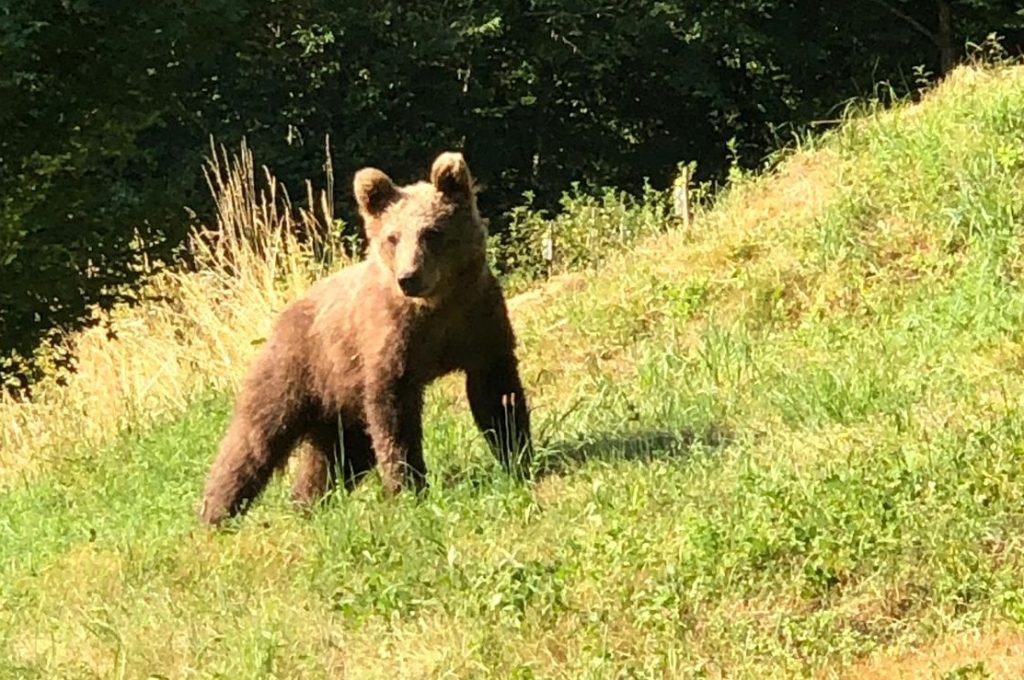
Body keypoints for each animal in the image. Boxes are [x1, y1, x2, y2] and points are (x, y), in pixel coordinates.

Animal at [198, 151, 532, 526]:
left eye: (432, 231)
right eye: (392, 236)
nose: (409, 277)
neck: (437, 306)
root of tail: (283, 315)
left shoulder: (478, 322)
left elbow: (496, 393)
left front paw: (517, 456)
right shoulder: (390, 341)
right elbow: (393, 416)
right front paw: (407, 485)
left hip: (341, 398)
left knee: (337, 456)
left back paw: (307, 502)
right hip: (297, 369)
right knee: (255, 436)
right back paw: (217, 512)